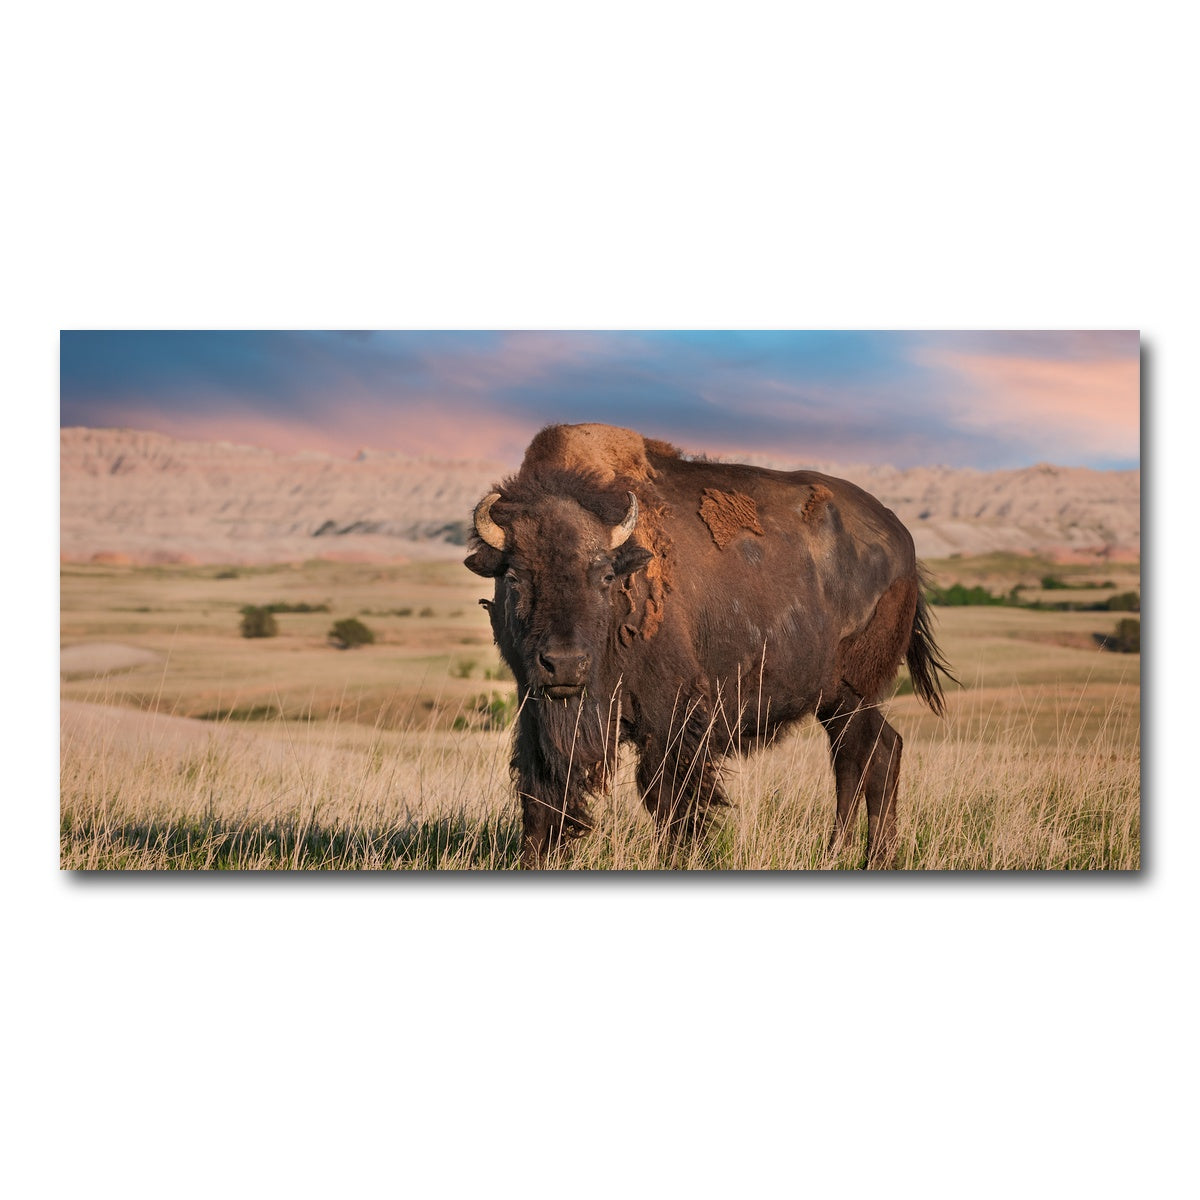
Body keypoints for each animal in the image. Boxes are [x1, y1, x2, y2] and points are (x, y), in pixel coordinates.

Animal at [464, 423, 955, 869]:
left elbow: (671, 798)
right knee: (869, 756)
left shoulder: (672, 716)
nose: (564, 665)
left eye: (604, 576)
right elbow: (541, 794)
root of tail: (904, 543)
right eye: (514, 576)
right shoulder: (535, 711)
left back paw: (872, 857)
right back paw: (845, 854)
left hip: (855, 695)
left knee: (867, 757)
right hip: (837, 702)